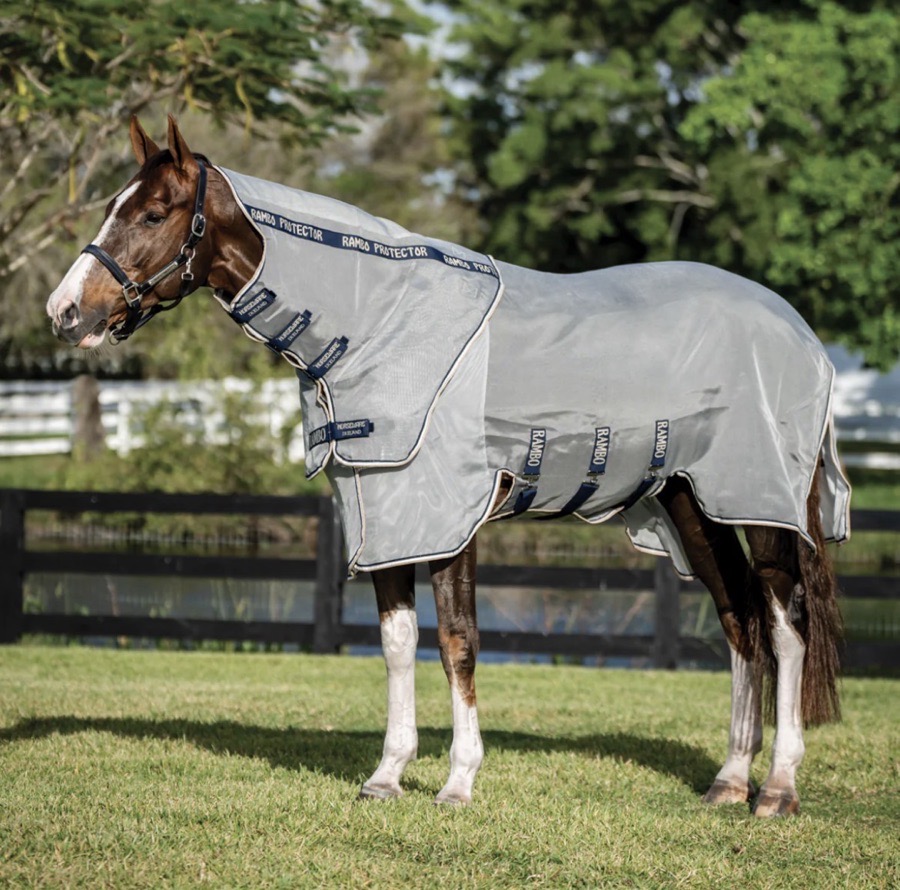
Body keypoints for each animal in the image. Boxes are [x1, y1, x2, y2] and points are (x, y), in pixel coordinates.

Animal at [47, 116, 849, 815]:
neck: (378, 323)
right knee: (739, 620)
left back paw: (777, 789)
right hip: (693, 504)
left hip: (762, 507)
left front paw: (458, 782)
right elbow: (399, 643)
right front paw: (387, 776)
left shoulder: (450, 519)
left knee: (785, 625)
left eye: (154, 213)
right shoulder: (385, 514)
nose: (65, 311)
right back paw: (729, 781)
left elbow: (458, 643)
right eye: (116, 206)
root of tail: (803, 335)